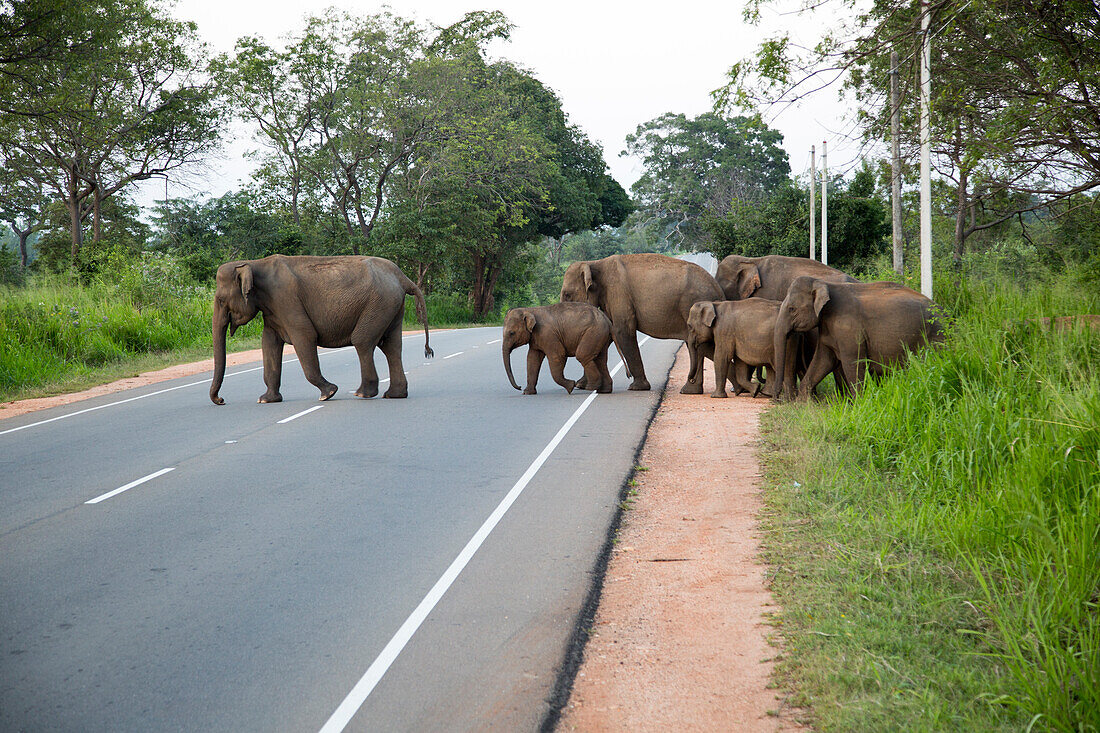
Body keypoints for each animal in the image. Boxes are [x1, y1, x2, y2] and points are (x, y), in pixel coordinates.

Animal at [207, 254, 431, 405]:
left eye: (221, 300)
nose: (221, 400)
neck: (254, 263)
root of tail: (402, 276)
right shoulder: (272, 310)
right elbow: (269, 343)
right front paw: (266, 400)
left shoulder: (286, 300)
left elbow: (305, 336)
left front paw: (328, 394)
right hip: (392, 305)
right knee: (391, 345)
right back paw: (394, 395)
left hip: (379, 303)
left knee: (362, 341)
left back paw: (362, 394)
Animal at [558, 253, 721, 391]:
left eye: (567, 295)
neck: (594, 263)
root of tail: (717, 287)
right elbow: (610, 334)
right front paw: (581, 385)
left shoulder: (618, 293)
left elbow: (622, 331)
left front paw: (637, 388)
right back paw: (690, 390)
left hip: (692, 303)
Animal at [770, 275, 941, 400]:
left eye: (792, 309)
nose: (776, 398)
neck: (826, 284)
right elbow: (823, 360)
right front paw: (804, 403)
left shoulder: (849, 328)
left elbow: (853, 362)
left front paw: (860, 403)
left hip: (935, 336)